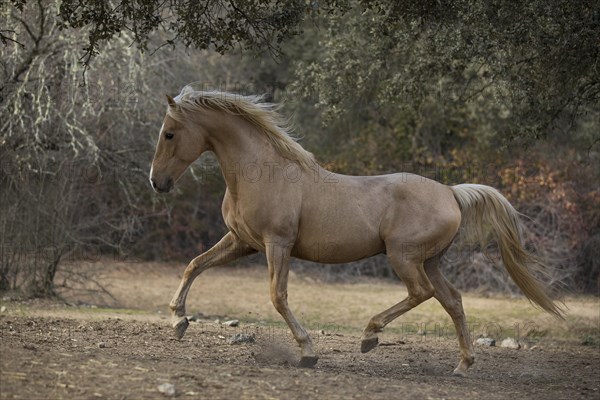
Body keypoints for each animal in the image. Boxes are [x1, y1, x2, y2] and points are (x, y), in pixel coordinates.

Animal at [150, 86, 564, 376]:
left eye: (169, 133)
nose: (157, 182)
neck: (264, 173)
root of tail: (451, 192)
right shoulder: (242, 242)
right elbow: (194, 265)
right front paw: (178, 321)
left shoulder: (276, 244)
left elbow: (278, 297)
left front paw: (308, 353)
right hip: (430, 261)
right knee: (453, 300)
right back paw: (462, 365)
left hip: (404, 257)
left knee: (422, 293)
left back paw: (370, 336)